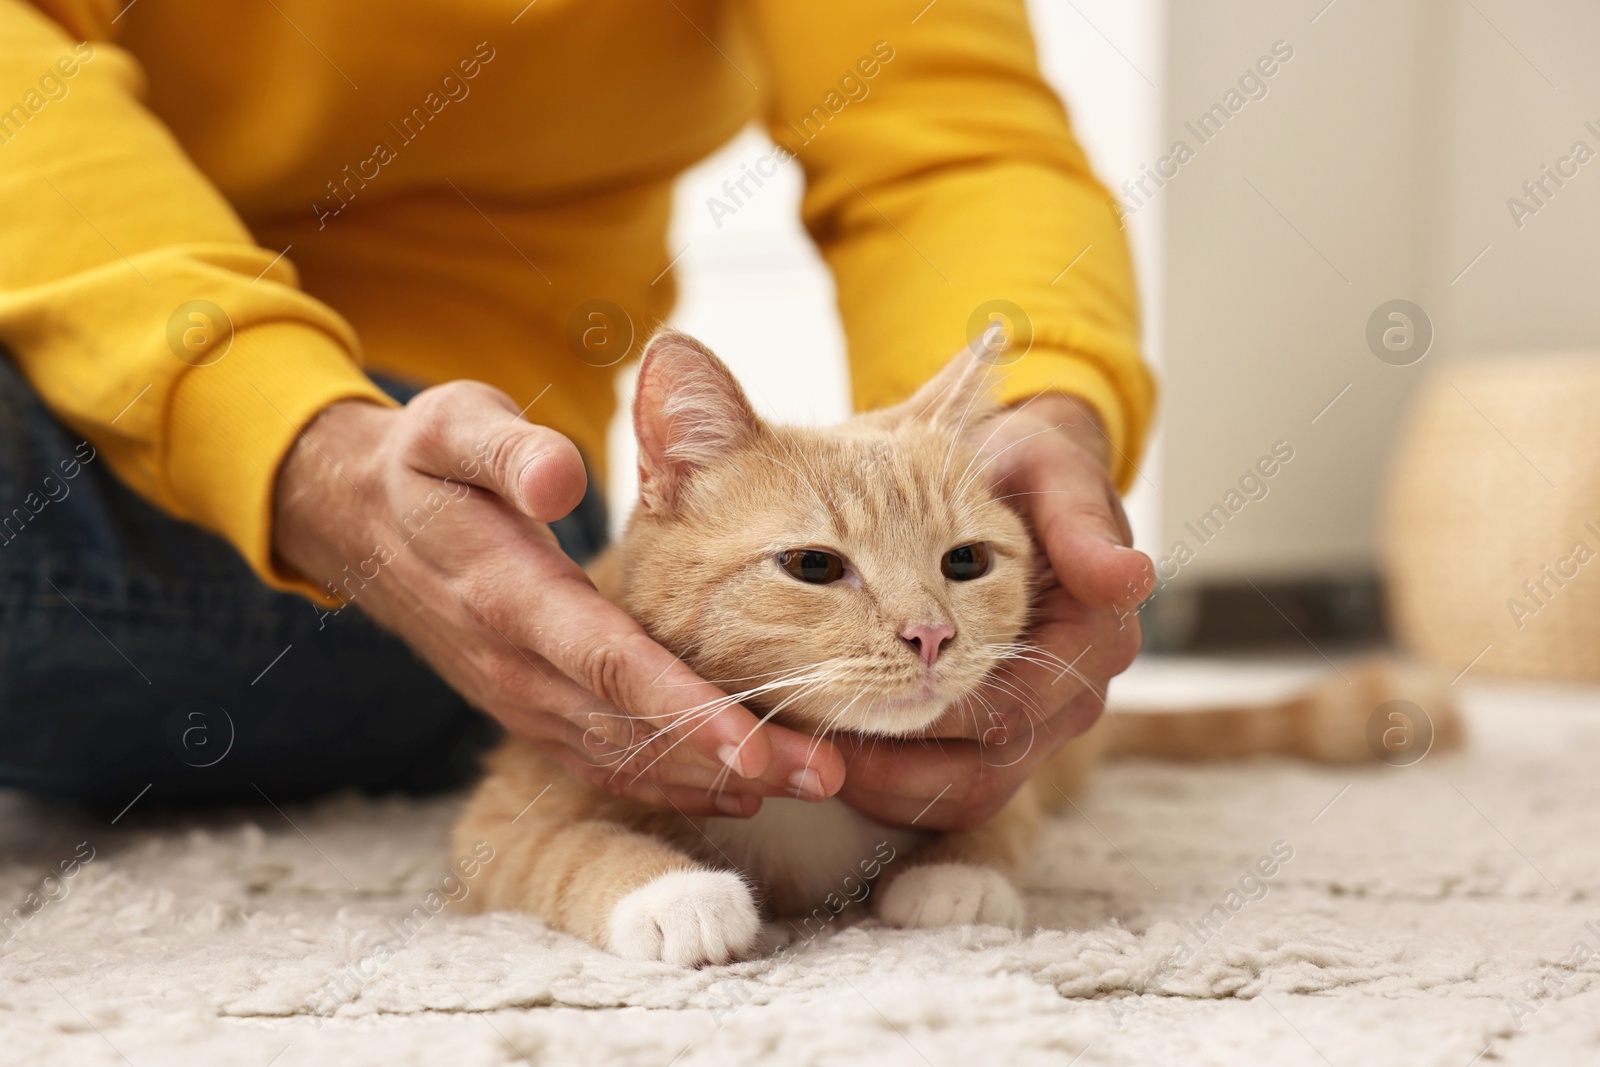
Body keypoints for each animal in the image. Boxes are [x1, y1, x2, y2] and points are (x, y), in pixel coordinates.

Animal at [454, 329, 1465, 966]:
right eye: (814, 565)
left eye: (966, 561)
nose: (931, 631)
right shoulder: (505, 816)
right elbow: (568, 847)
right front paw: (675, 893)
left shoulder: (1018, 777)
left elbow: (999, 820)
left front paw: (953, 877)